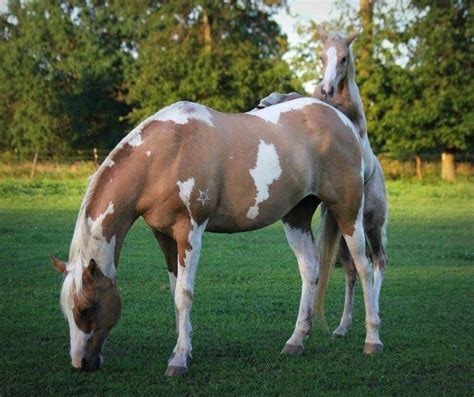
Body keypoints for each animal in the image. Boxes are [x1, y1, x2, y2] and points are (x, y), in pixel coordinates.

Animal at [51, 96, 382, 374]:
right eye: (67, 311)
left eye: (86, 308)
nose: (81, 363)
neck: (165, 154)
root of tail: (343, 121)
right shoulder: (163, 234)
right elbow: (174, 291)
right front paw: (184, 349)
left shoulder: (190, 230)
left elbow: (184, 294)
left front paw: (179, 360)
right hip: (296, 215)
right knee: (310, 268)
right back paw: (296, 341)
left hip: (348, 212)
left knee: (365, 268)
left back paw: (372, 340)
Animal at [258, 29, 386, 342]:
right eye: (321, 56)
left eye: (343, 58)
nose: (327, 89)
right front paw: (271, 99)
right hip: (343, 235)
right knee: (352, 271)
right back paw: (342, 327)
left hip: (372, 226)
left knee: (378, 262)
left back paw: (374, 319)